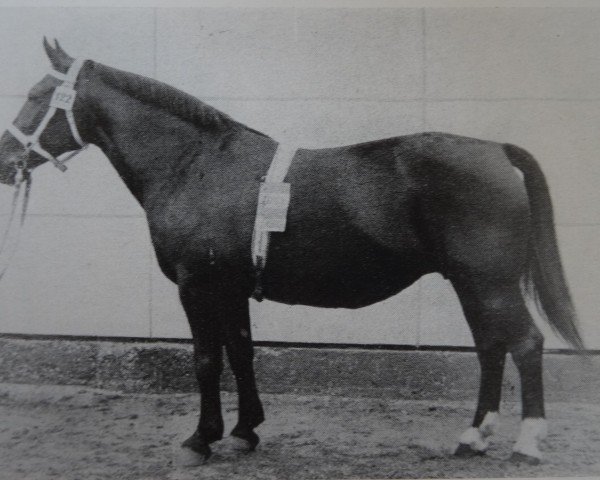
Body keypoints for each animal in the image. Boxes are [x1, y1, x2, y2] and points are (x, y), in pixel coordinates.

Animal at [0, 39, 584, 466]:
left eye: (36, 94)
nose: (6, 161)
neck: (196, 165)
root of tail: (496, 150)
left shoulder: (197, 286)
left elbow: (207, 360)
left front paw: (200, 440)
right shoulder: (232, 287)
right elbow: (241, 352)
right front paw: (244, 433)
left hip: (489, 281)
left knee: (525, 344)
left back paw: (526, 444)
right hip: (471, 283)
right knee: (491, 347)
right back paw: (472, 439)